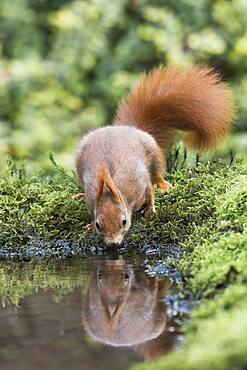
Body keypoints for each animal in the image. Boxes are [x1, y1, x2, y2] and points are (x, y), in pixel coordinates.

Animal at [75, 66, 233, 246]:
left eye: (124, 221)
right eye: (98, 224)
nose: (113, 243)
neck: (112, 188)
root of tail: (127, 128)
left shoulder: (139, 182)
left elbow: (149, 191)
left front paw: (150, 210)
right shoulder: (93, 198)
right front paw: (88, 224)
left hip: (153, 151)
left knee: (157, 172)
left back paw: (163, 184)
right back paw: (80, 195)